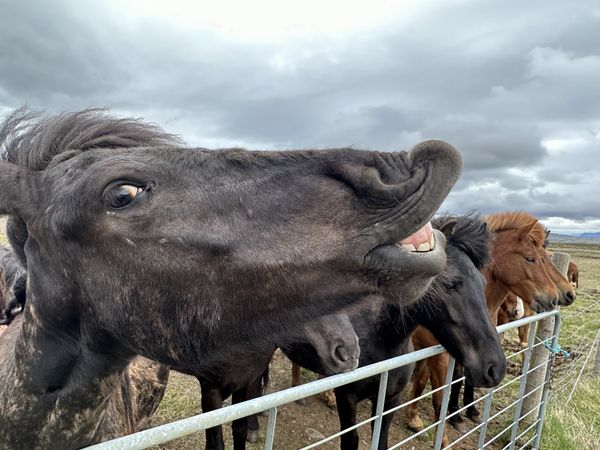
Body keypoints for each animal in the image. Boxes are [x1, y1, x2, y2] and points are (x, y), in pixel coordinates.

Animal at [282, 214, 506, 450]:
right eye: (451, 284)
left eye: (483, 282)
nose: (495, 368)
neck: (380, 341)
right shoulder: (347, 399)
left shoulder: (390, 400)